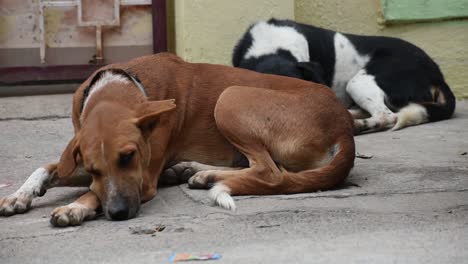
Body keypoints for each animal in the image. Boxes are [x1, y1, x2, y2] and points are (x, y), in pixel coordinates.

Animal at [0, 53, 352, 227]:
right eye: (94, 167)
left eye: (128, 156)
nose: (118, 213)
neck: (120, 85)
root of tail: (344, 125)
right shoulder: (76, 158)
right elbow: (48, 168)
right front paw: (19, 195)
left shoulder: (143, 180)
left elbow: (92, 192)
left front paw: (75, 207)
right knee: (265, 170)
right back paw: (197, 171)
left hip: (230, 97)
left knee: (272, 173)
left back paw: (203, 174)